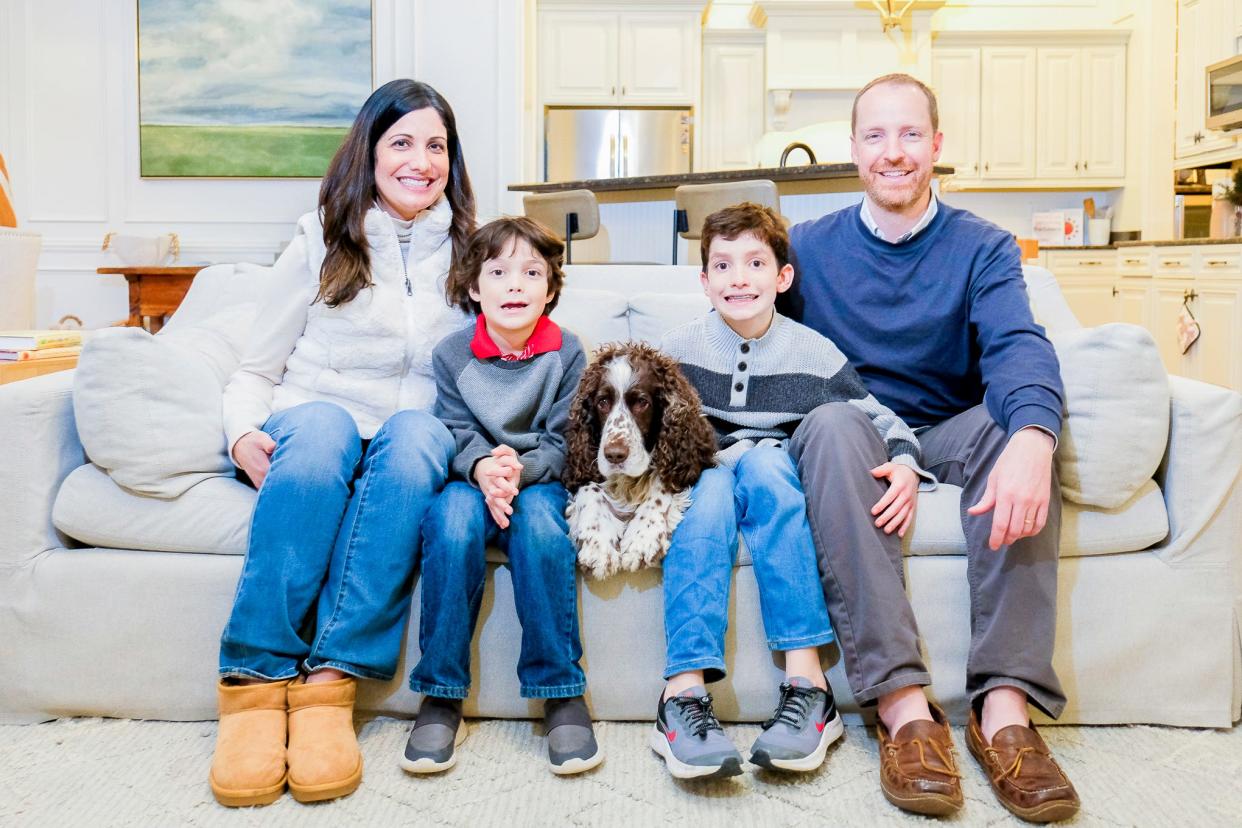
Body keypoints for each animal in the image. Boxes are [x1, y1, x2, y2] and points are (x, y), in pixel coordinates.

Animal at [563, 340, 720, 580]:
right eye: (603, 402)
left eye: (642, 402)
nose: (614, 455)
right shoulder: (580, 468)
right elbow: (590, 487)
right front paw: (599, 544)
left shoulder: (686, 462)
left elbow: (660, 484)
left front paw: (642, 537)